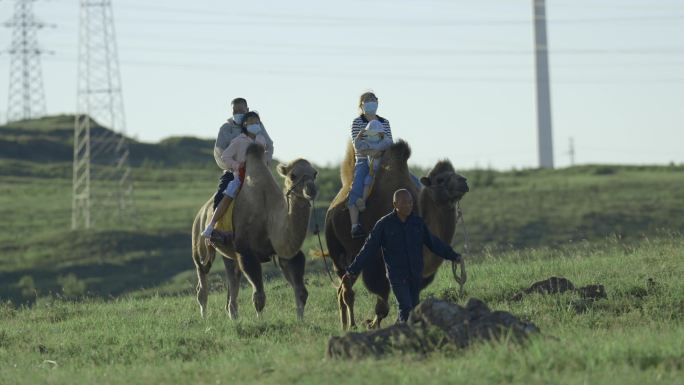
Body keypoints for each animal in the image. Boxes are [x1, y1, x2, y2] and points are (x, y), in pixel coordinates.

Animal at [191, 142, 320, 320]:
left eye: (314, 173)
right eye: (293, 175)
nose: (311, 189)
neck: (269, 217)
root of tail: (201, 212)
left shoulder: (284, 252)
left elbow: (301, 291)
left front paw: (300, 320)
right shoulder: (246, 251)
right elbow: (259, 295)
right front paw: (260, 321)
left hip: (229, 253)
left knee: (232, 281)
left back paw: (234, 318)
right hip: (199, 243)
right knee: (202, 278)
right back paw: (204, 318)